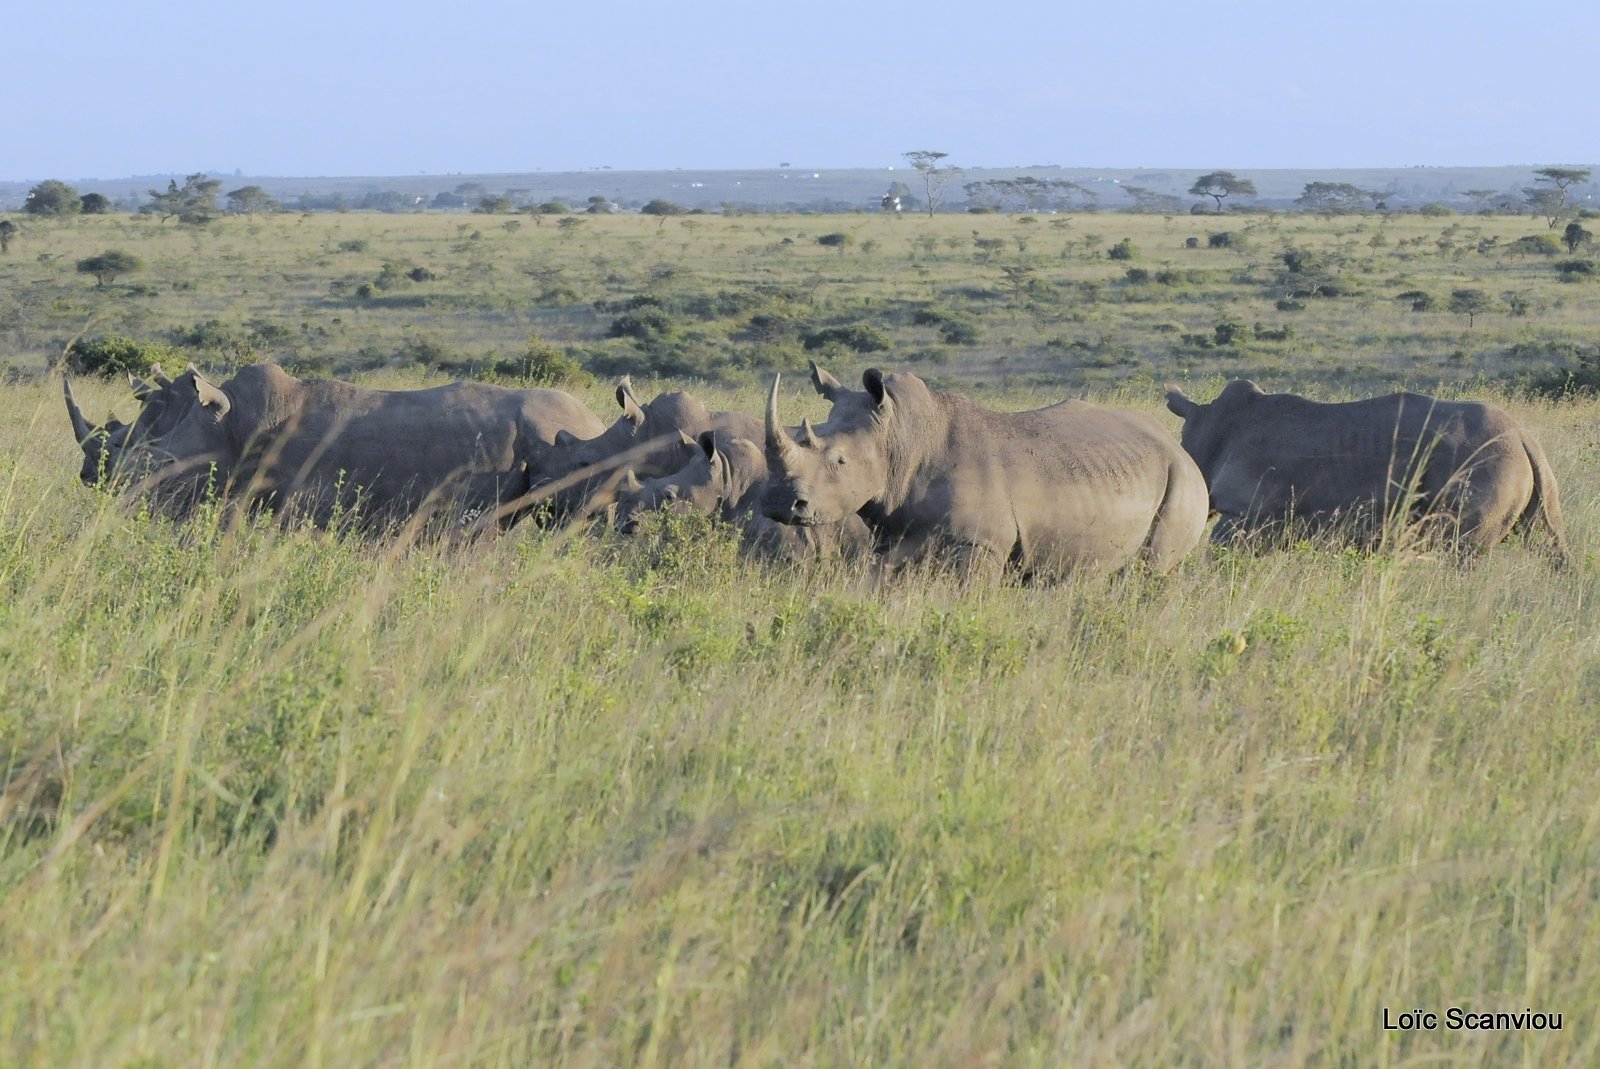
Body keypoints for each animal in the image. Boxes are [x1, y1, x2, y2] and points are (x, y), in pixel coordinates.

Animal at [758, 369, 1203, 585]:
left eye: (840, 461)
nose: (780, 504)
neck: (901, 437)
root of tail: (1178, 448)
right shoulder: (896, 533)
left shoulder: (980, 543)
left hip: (1182, 481)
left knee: (1153, 569)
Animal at [1171, 377, 1568, 563]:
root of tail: (1522, 436)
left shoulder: (1247, 511)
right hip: (1526, 466)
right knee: (1549, 538)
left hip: (1482, 460)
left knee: (1461, 550)